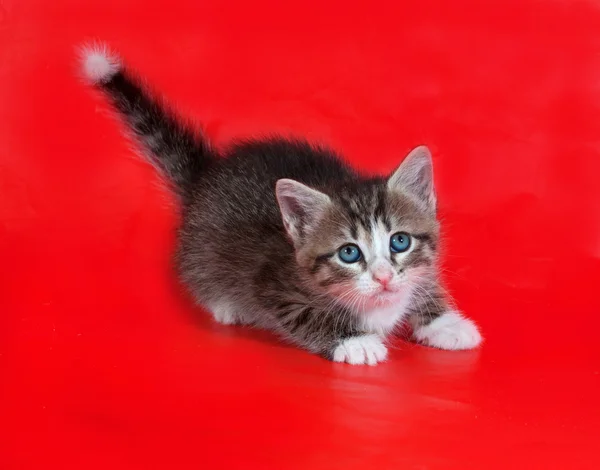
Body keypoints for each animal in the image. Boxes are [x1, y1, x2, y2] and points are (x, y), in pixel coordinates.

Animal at [81, 44, 482, 366]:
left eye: (400, 241)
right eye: (349, 253)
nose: (383, 277)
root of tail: (207, 173)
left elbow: (422, 284)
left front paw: (447, 323)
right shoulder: (272, 286)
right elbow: (307, 317)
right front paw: (355, 342)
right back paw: (226, 305)